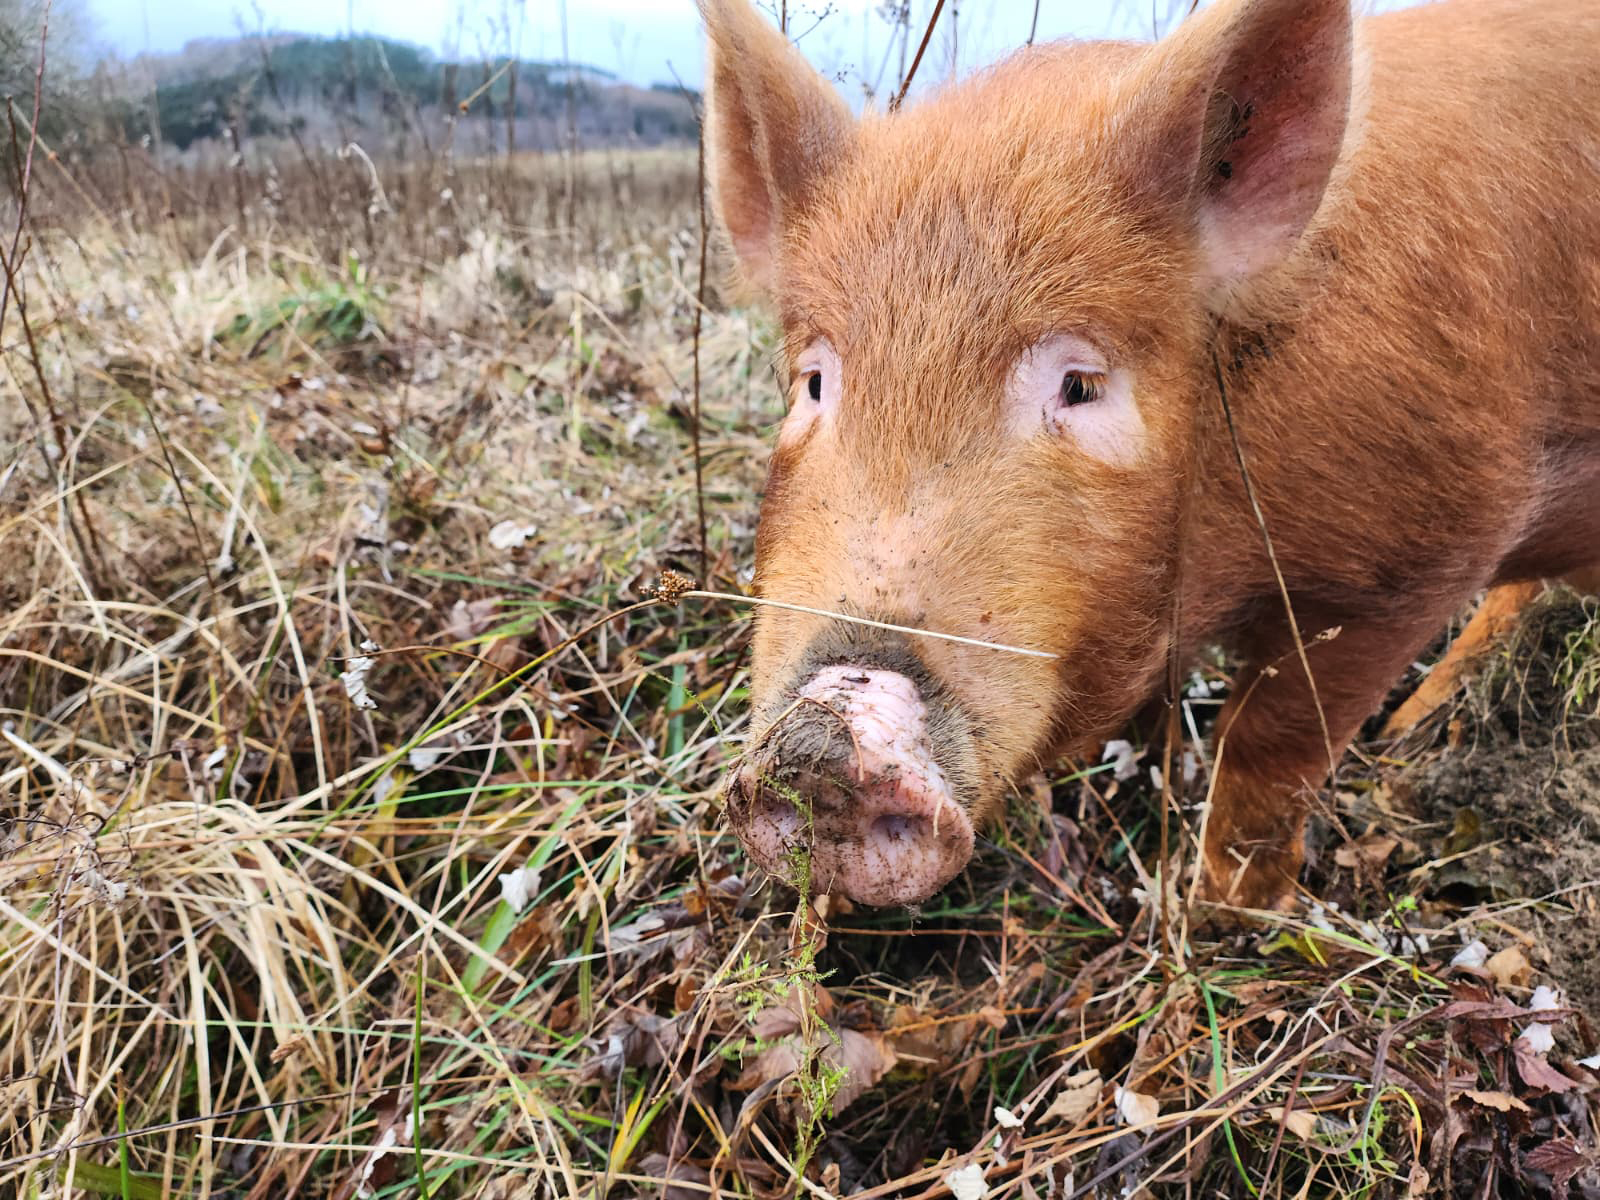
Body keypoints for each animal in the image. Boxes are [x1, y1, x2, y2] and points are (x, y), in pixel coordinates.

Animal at [704, 0, 1600, 910]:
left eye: (1081, 386)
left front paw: (1227, 909)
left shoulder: (1416, 561)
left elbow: (1270, 743)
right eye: (815, 383)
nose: (822, 744)